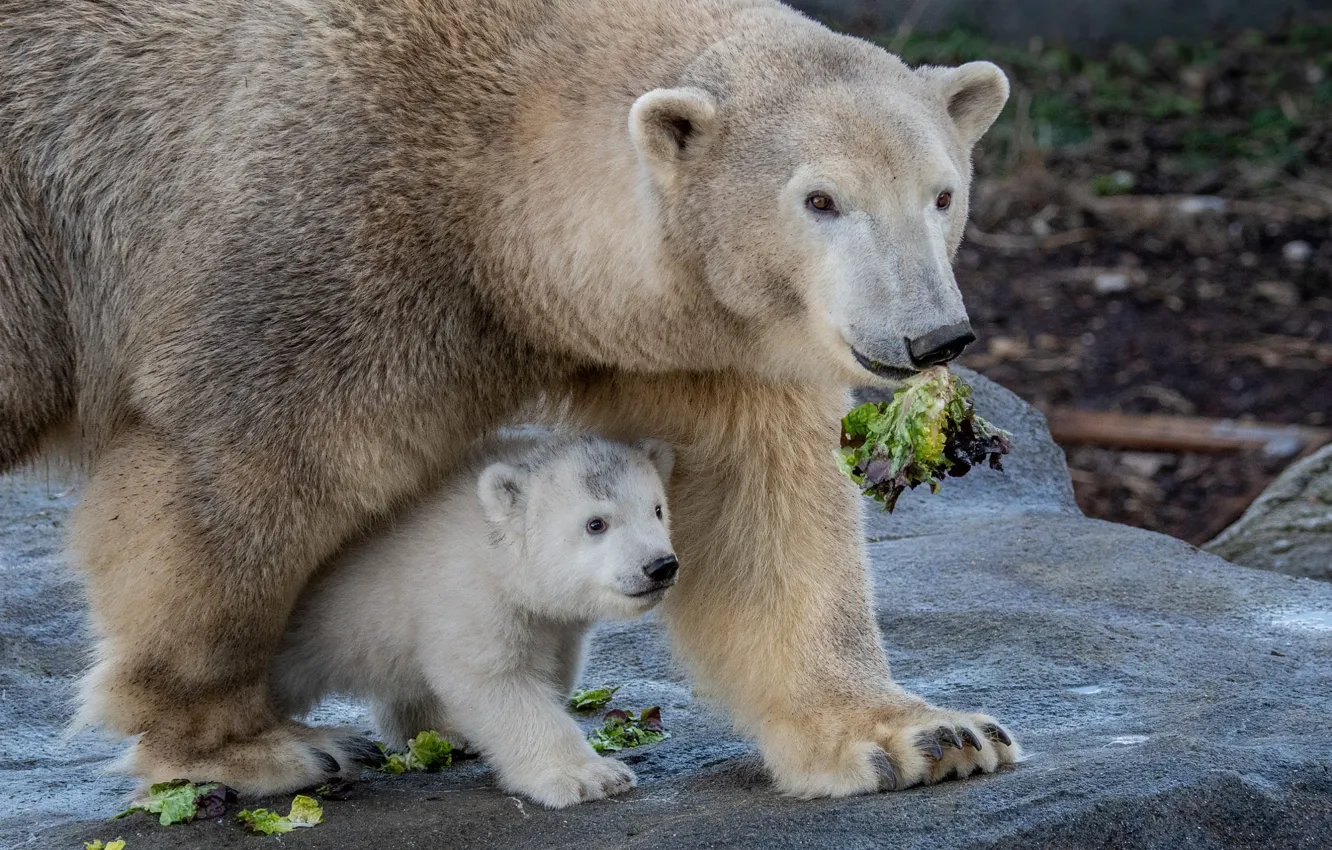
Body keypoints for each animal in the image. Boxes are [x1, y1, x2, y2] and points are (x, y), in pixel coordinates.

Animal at [270, 432, 677, 808]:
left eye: (657, 509)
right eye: (596, 523)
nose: (660, 566)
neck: (493, 549)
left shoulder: (546, 620)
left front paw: (443, 729)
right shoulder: (466, 594)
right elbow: (496, 681)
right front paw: (591, 776)